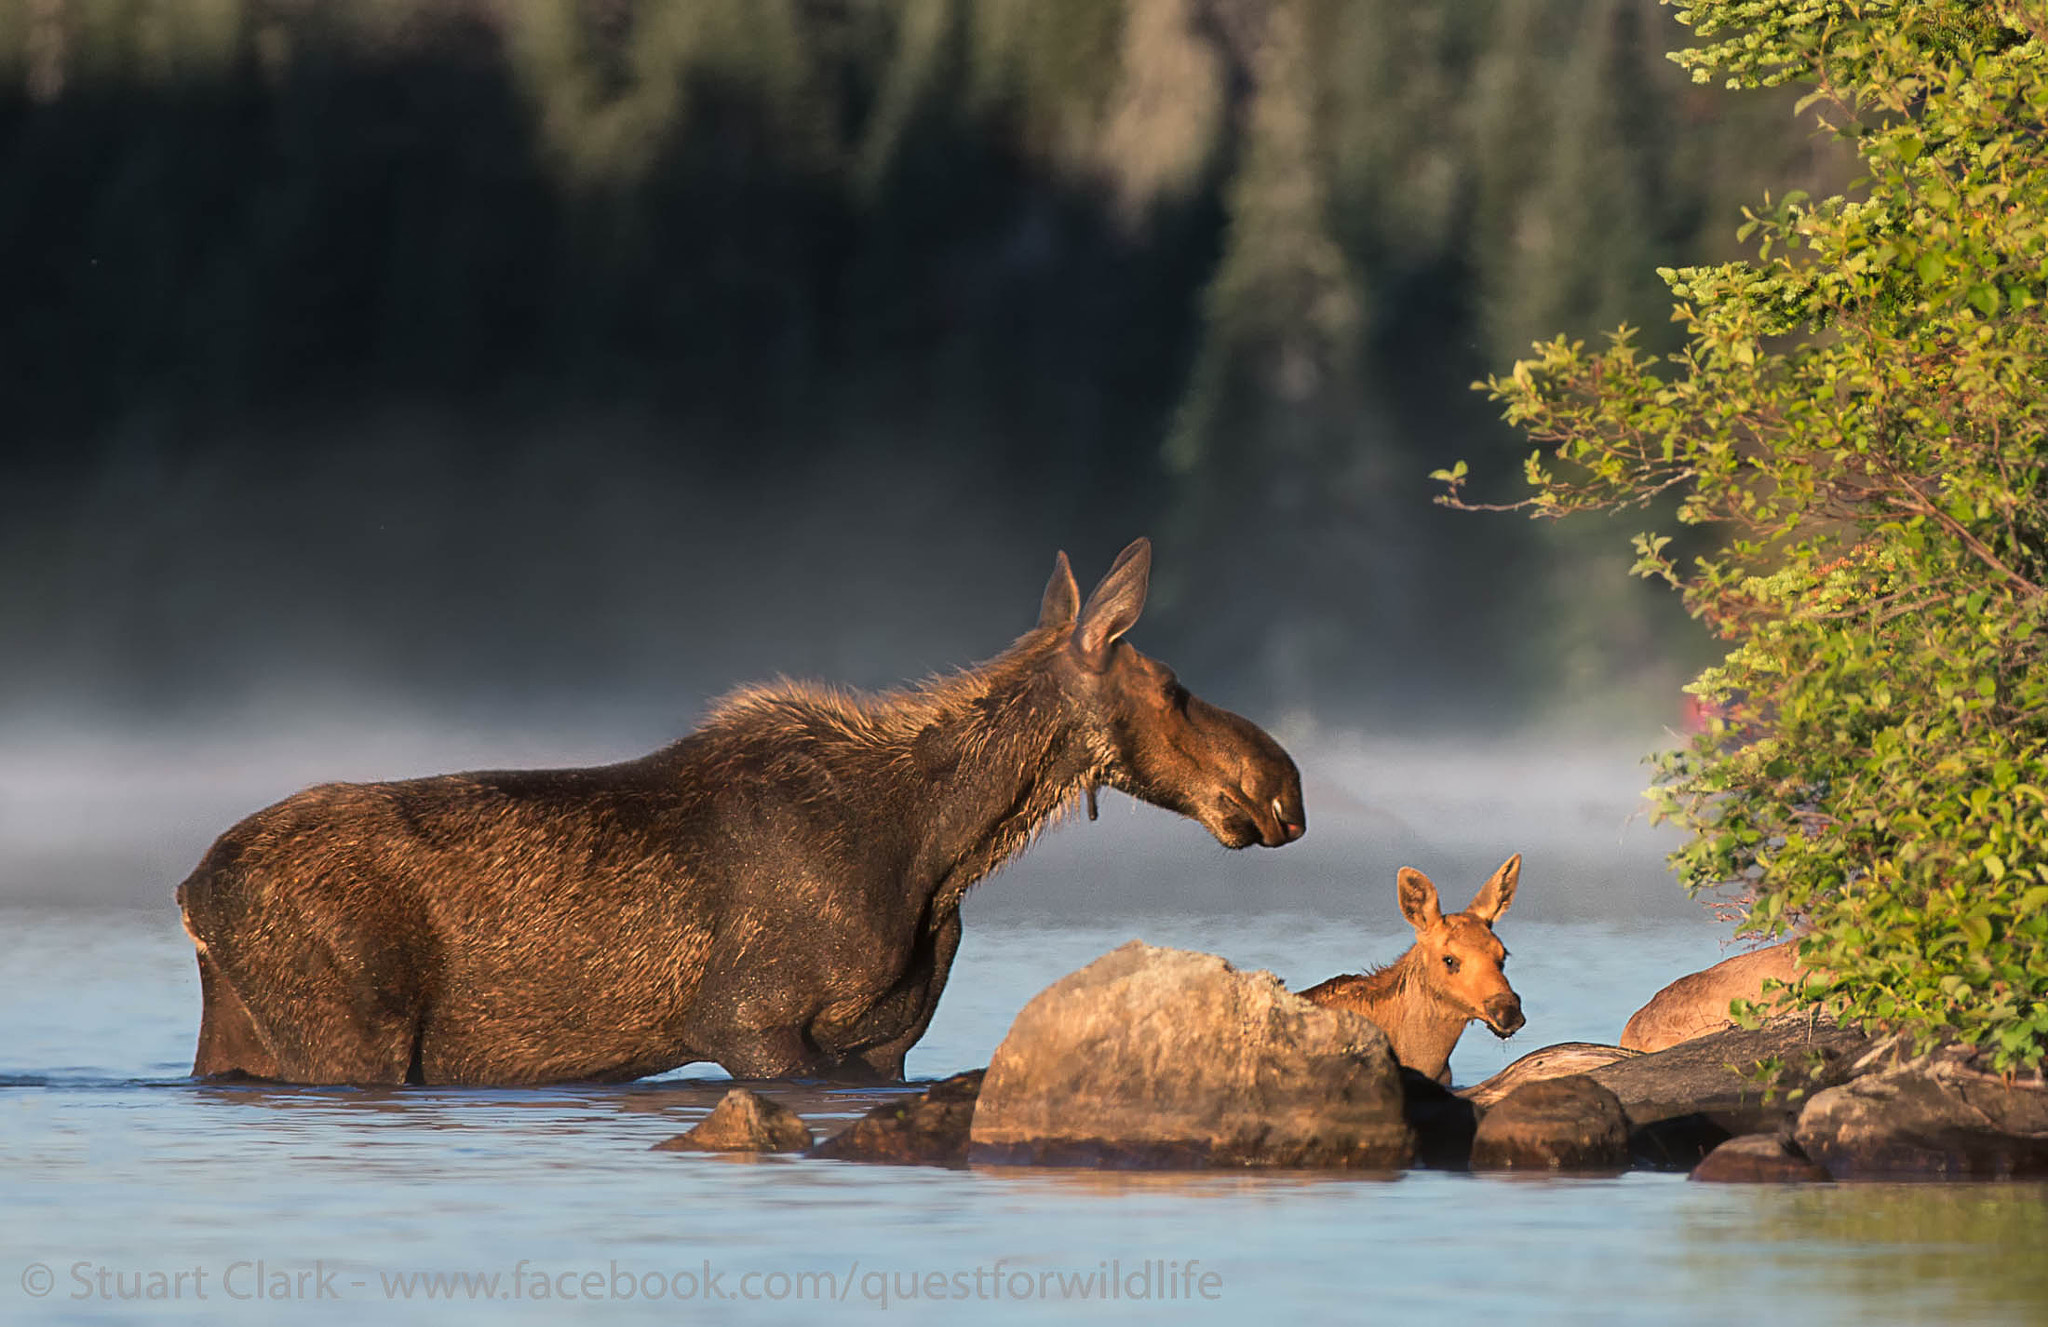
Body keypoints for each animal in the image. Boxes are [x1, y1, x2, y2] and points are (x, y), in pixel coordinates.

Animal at [172, 540, 1294, 1089]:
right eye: (1175, 688)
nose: (1281, 785)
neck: (937, 850)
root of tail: (190, 889)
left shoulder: (882, 1044)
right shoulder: (748, 1020)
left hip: (241, 1026)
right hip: (351, 1032)